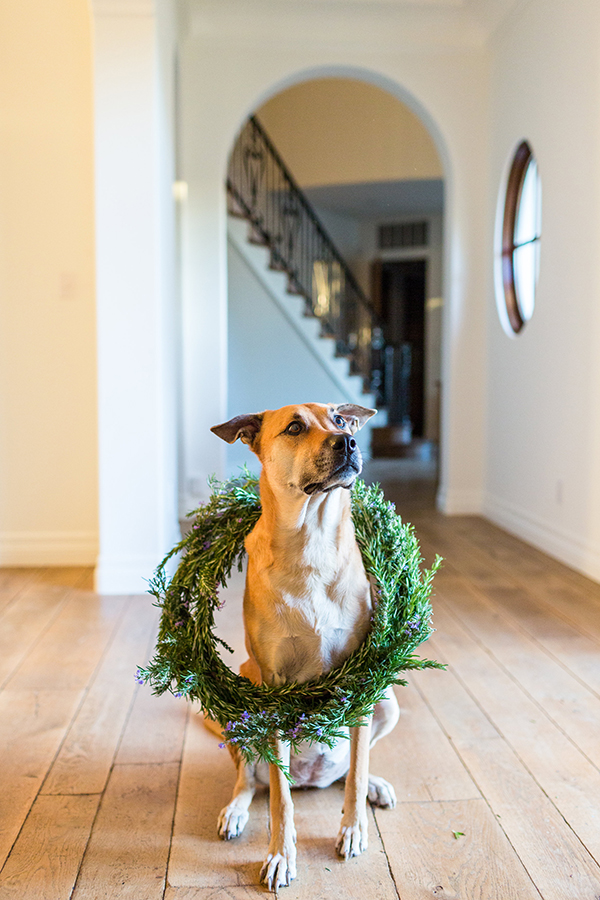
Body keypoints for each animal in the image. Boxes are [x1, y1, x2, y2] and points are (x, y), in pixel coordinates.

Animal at [211, 404, 398, 888]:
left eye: (340, 420)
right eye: (294, 427)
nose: (348, 442)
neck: (312, 541)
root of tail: (312, 778)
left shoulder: (361, 681)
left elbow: (356, 773)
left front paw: (353, 829)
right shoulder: (273, 687)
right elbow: (280, 798)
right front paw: (281, 854)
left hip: (387, 699)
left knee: (354, 763)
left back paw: (374, 784)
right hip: (239, 702)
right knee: (248, 779)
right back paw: (235, 811)